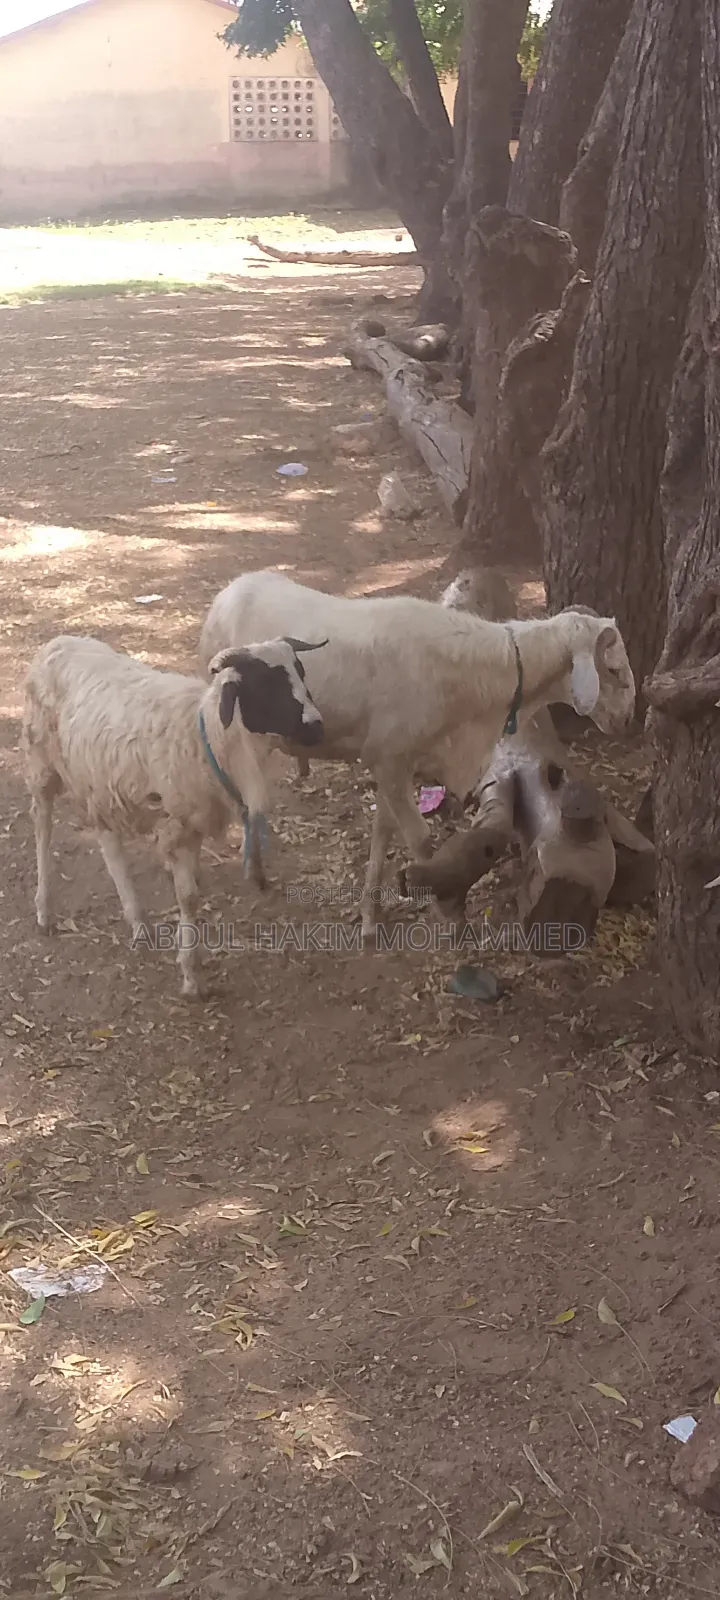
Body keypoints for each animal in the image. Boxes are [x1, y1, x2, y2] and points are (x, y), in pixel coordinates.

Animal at [22, 633, 325, 997]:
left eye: (300, 671)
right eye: (266, 682)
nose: (316, 727)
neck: (210, 735)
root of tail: (56, 642)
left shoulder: (193, 823)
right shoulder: (177, 828)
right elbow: (189, 897)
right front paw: (190, 975)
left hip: (98, 778)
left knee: (107, 840)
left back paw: (136, 919)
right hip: (41, 760)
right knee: (42, 825)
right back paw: (44, 909)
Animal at [198, 569, 635, 940]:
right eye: (613, 670)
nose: (628, 718)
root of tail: (229, 590)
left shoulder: (403, 762)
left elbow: (383, 832)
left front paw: (371, 914)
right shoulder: (388, 758)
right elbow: (422, 841)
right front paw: (447, 908)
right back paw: (253, 870)